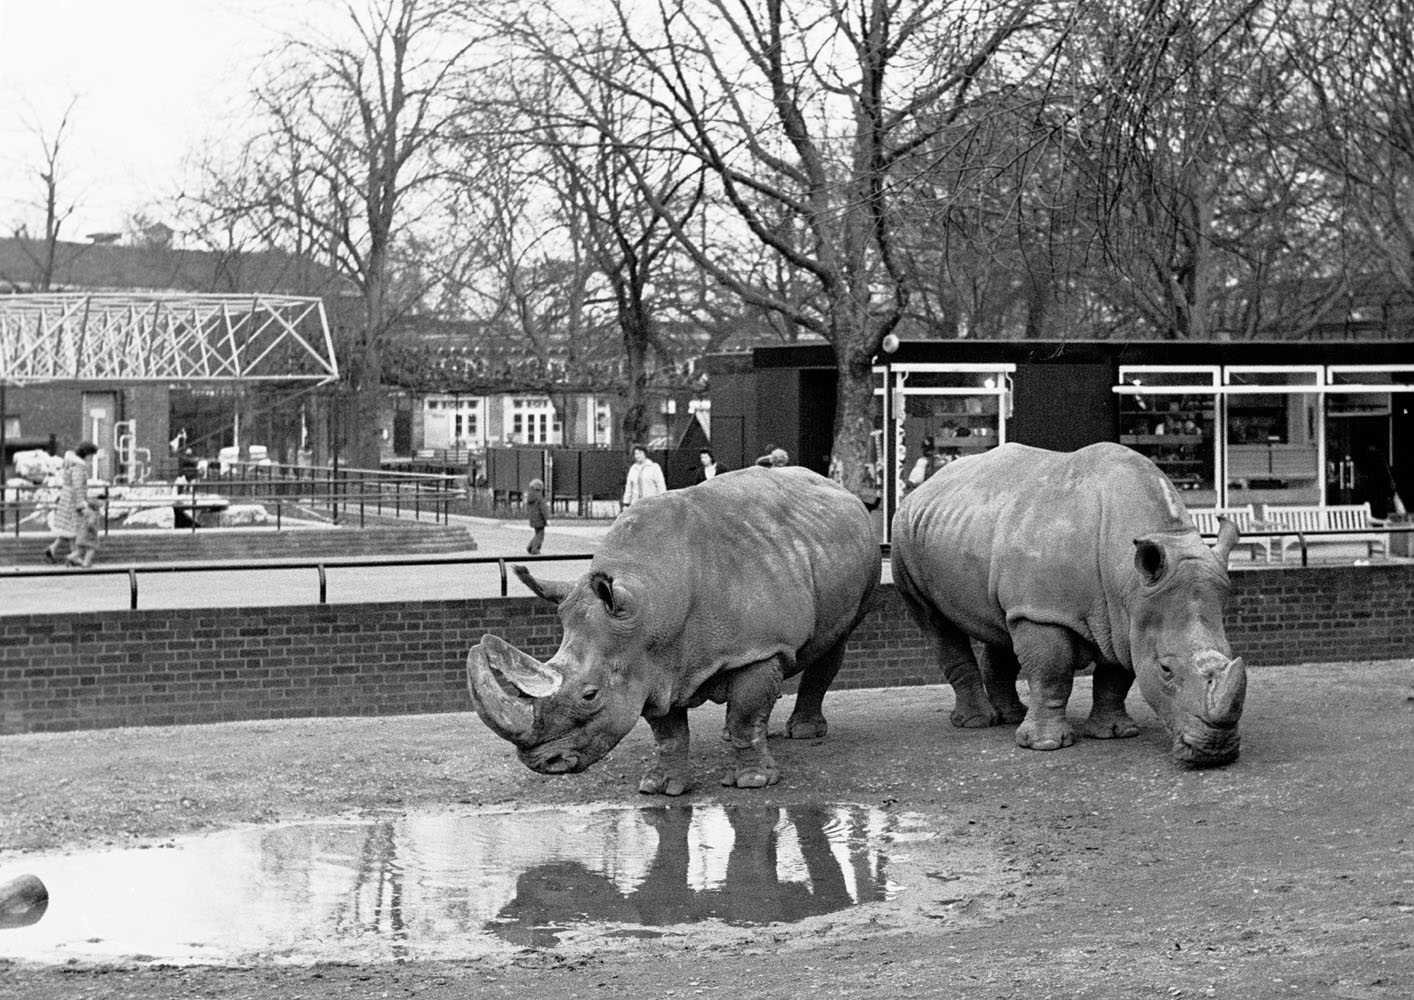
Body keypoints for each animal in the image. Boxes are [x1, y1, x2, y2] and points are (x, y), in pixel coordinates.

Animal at [467, 466, 880, 795]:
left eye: (590, 695)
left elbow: (746, 716)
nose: (541, 762)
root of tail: (841, 489)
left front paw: (753, 782)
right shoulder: (649, 665)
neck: (651, 604)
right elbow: (667, 734)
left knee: (834, 644)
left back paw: (804, 732)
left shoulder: (760, 648)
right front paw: (663, 787)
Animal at [891, 442, 1246, 767]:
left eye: (1231, 653)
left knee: (1003, 625)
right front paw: (1045, 745)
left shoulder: (1124, 617)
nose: (1215, 750)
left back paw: (1011, 715)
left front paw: (1115, 733)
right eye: (1166, 670)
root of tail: (923, 487)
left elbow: (1115, 676)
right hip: (904, 538)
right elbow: (1052, 671)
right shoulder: (1045, 611)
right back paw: (978, 722)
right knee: (937, 624)